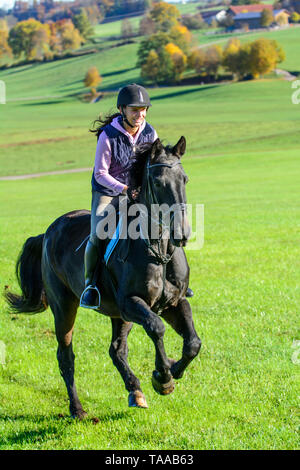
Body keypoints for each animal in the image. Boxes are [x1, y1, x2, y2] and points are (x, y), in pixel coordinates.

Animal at [4, 137, 200, 418]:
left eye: (184, 179)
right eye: (158, 182)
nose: (181, 234)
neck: (158, 252)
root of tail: (48, 232)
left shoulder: (174, 302)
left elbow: (193, 342)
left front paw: (172, 370)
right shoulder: (131, 303)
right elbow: (157, 327)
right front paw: (163, 378)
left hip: (118, 314)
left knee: (116, 350)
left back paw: (135, 391)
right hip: (65, 307)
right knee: (66, 355)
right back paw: (77, 409)